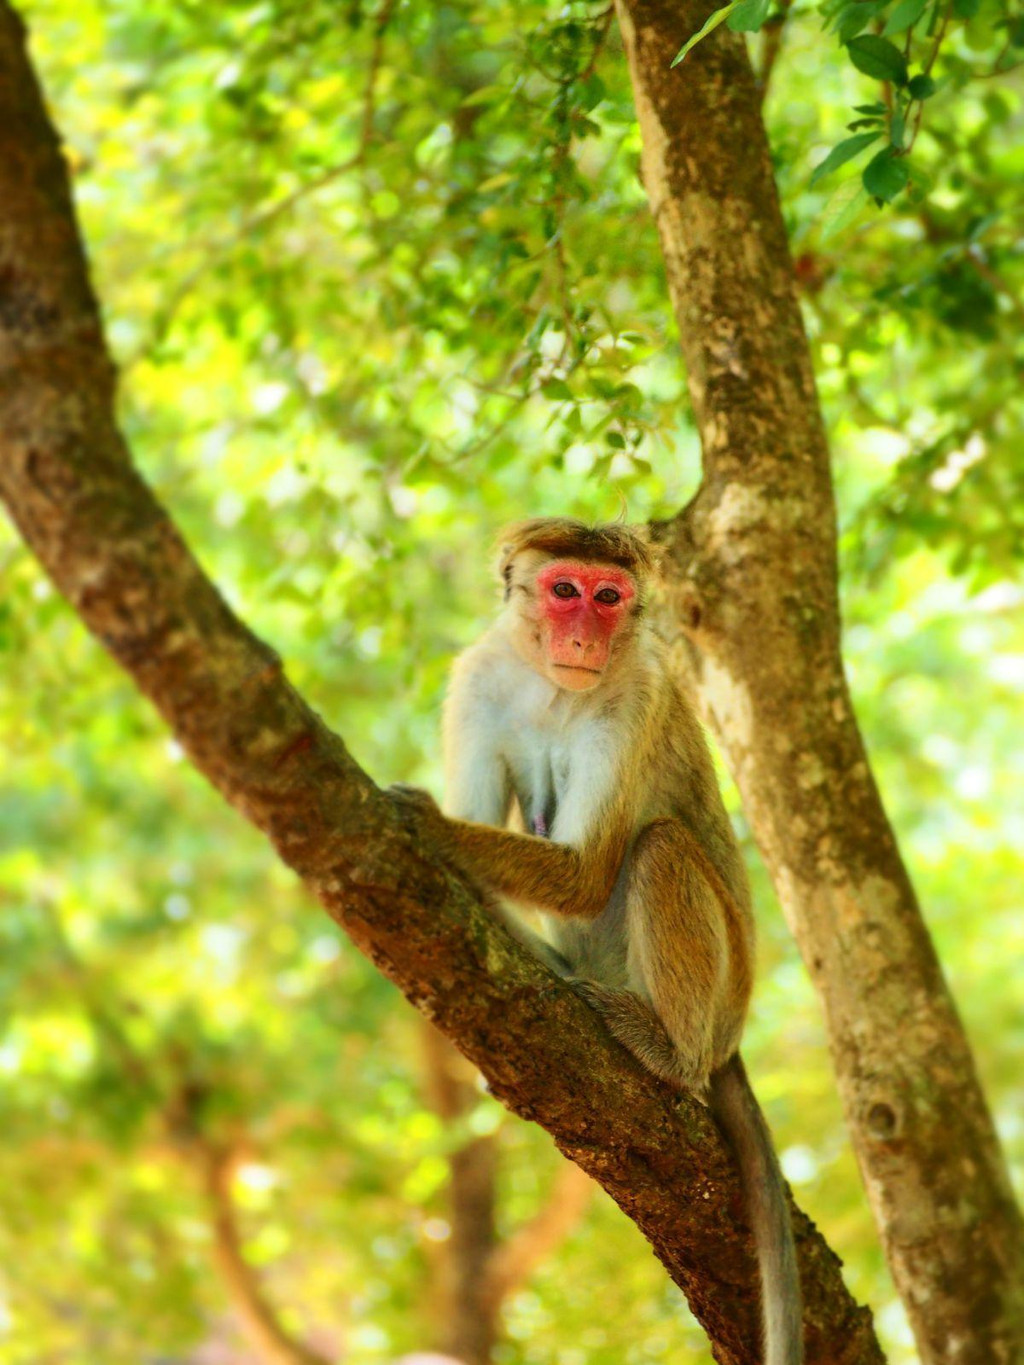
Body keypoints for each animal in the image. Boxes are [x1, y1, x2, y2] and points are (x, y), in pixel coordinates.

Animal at [395, 513, 808, 1365]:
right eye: (565, 590)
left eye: (609, 597)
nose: (585, 634)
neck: (554, 686)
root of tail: (727, 1038)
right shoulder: (479, 678)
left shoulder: (641, 693)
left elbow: (587, 870)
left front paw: (426, 822)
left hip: (715, 998)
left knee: (657, 849)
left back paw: (669, 1053)